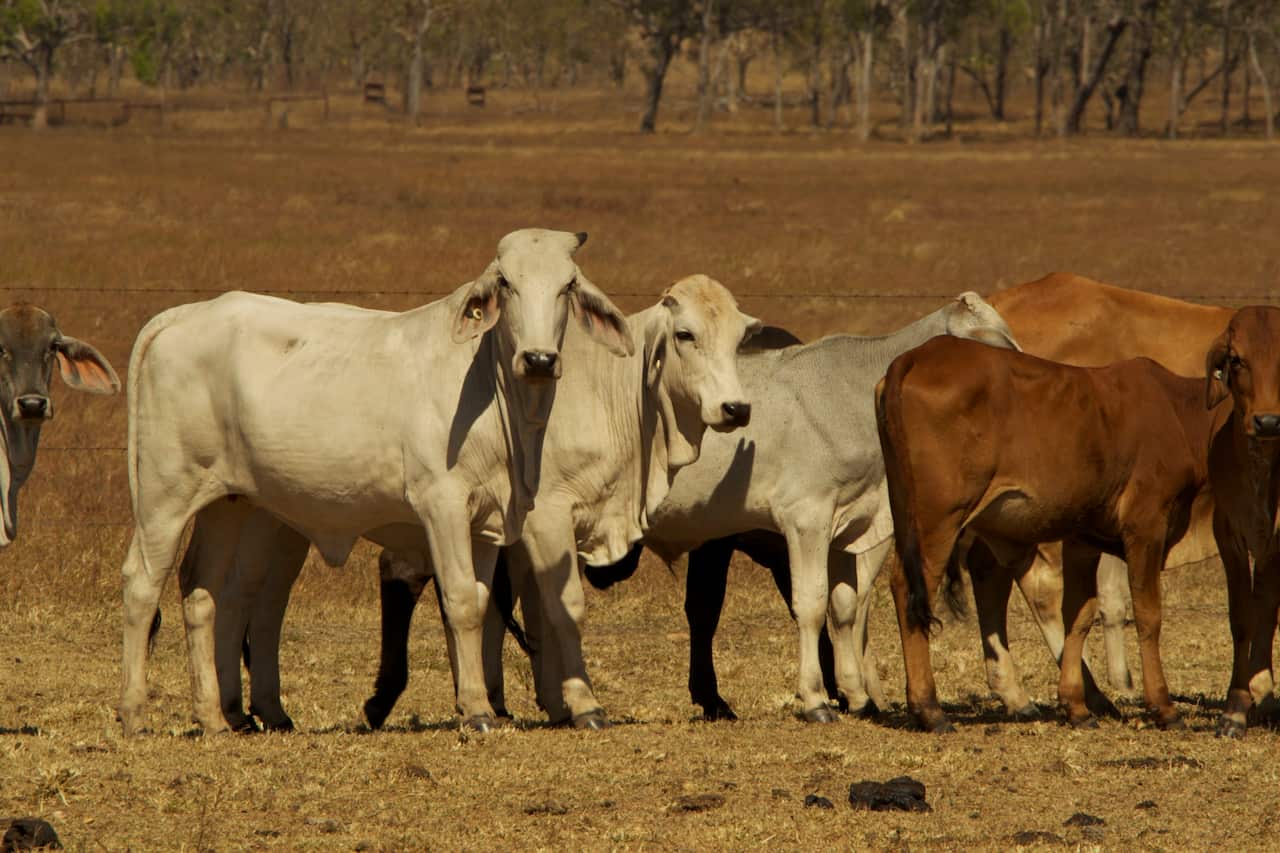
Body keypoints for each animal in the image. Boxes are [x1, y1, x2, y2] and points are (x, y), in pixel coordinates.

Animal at [118, 228, 637, 735]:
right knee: (142, 583)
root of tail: (184, 315)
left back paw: (212, 717)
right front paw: (476, 711)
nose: (539, 359)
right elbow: (461, 602)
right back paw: (135, 714)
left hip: (228, 503)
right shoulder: (442, 505)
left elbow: (480, 601)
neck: (496, 395)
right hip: (165, 496)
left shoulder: (488, 519)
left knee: (200, 591)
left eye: (567, 285)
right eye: (507, 283)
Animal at [199, 273, 760, 732]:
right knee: (238, 596)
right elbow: (555, 607)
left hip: (267, 520)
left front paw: (532, 701)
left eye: (738, 340)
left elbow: (513, 607)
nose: (736, 407)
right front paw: (575, 703)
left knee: (245, 599)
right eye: (685, 334)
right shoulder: (543, 519)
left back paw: (250, 710)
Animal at [877, 336, 1226, 732]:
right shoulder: (1146, 528)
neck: (1181, 414)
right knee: (909, 588)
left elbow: (1079, 614)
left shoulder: (1082, 539)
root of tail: (917, 356)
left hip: (906, 511)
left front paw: (1076, 706)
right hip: (939, 520)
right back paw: (929, 708)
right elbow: (1149, 615)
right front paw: (1164, 707)